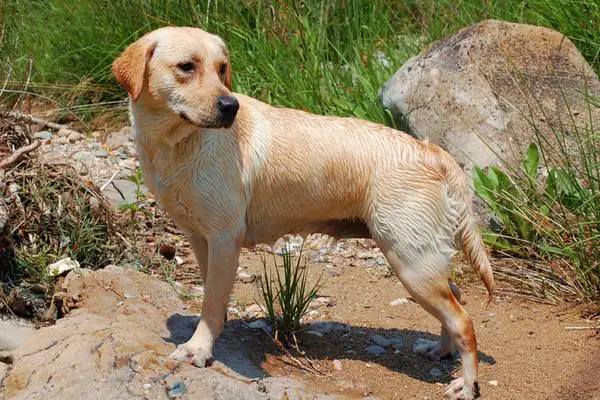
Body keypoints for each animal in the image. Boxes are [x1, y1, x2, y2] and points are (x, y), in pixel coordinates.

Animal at [115, 26, 494, 398]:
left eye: (222, 69)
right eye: (186, 67)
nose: (230, 105)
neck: (179, 143)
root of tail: (431, 151)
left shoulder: (225, 238)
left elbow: (210, 302)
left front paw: (198, 348)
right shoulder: (199, 237)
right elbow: (213, 294)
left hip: (410, 261)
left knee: (464, 320)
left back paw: (466, 384)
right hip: (421, 258)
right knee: (456, 297)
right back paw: (440, 350)